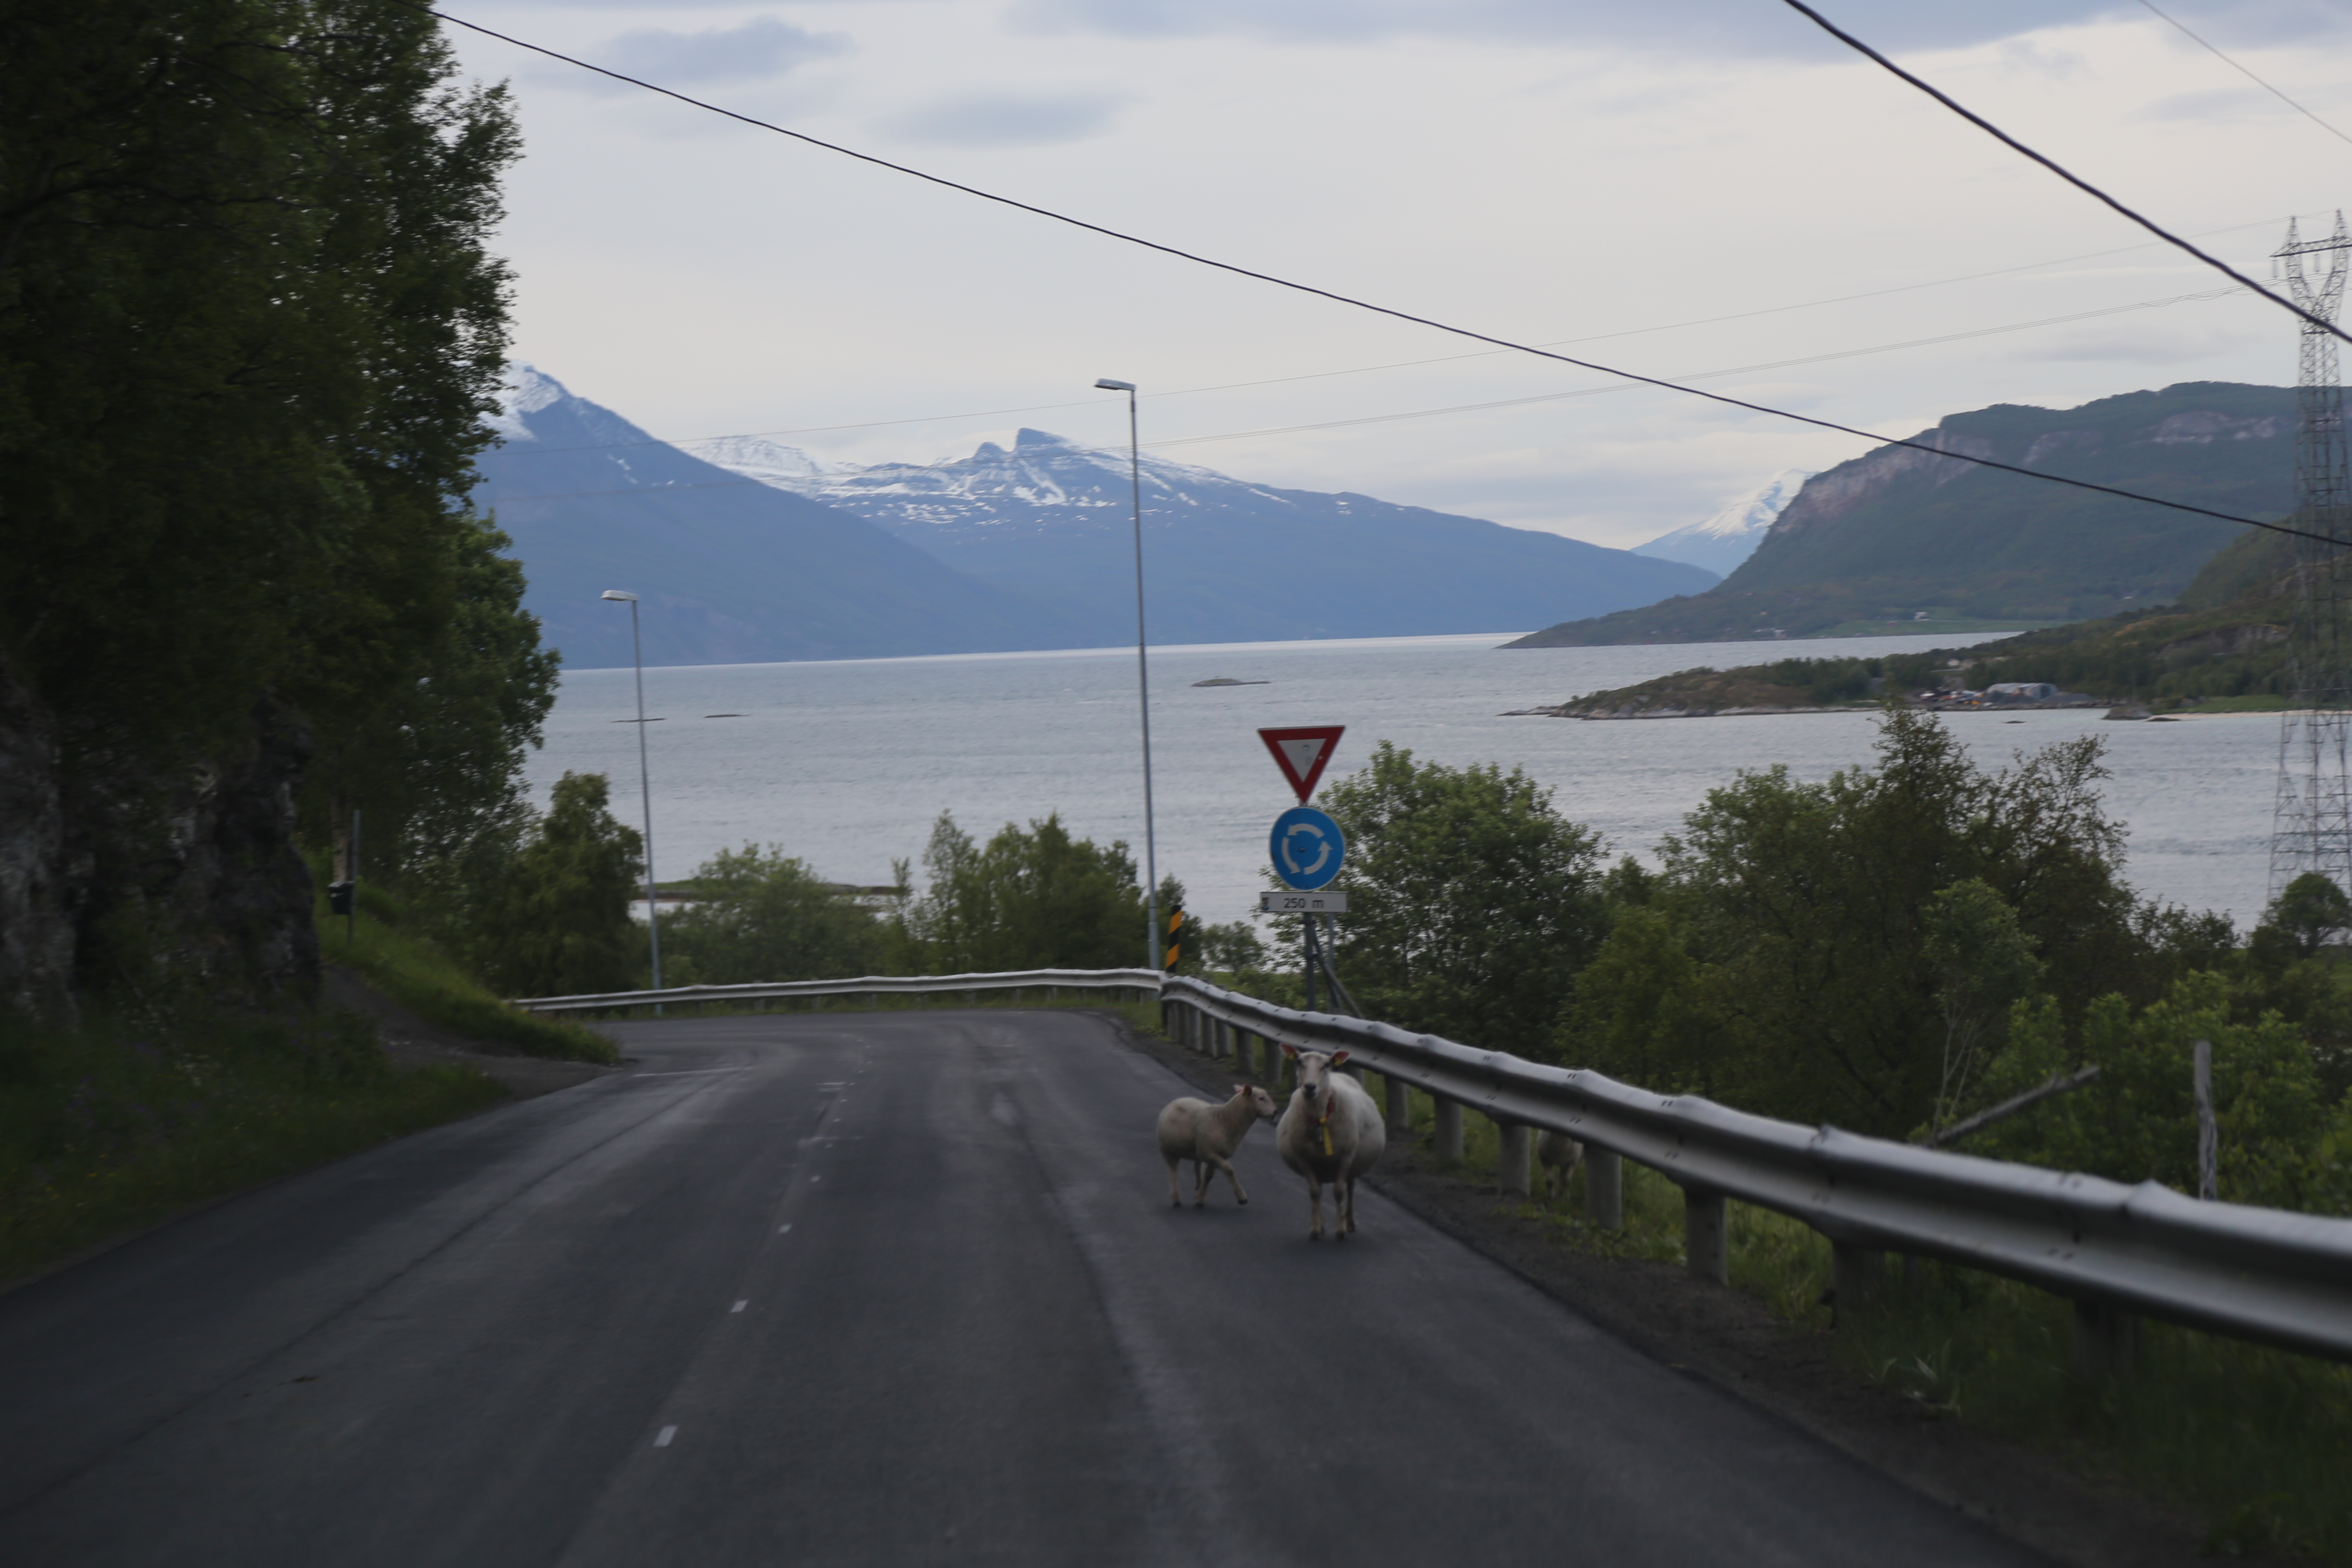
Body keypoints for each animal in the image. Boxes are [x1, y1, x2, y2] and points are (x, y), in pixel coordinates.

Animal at [1152, 1086, 1279, 1213]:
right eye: (1261, 1098)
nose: (1275, 1112)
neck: (1224, 1120)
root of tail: (1176, 1101)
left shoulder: (1215, 1154)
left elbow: (1209, 1176)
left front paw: (1200, 1198)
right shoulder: (1209, 1153)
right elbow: (1229, 1170)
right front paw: (1242, 1198)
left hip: (1198, 1149)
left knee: (1196, 1166)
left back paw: (1197, 1188)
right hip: (1168, 1151)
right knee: (1172, 1172)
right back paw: (1176, 1199)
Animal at [1279, 1048, 1383, 1241]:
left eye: (1326, 1065)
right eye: (1299, 1062)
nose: (1310, 1087)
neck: (1319, 1117)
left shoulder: (1346, 1156)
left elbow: (1339, 1192)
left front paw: (1341, 1230)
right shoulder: (1304, 1158)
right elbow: (1314, 1192)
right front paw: (1315, 1230)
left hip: (1352, 1162)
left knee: (1350, 1187)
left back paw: (1350, 1222)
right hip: (1318, 1164)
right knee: (1319, 1190)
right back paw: (1322, 1225)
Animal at [1533, 1133, 1590, 1213]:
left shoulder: (1572, 1162)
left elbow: (1567, 1181)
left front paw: (1566, 1200)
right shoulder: (1545, 1159)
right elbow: (1550, 1181)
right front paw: (1550, 1198)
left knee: (1564, 1178)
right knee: (1561, 1177)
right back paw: (1559, 1193)